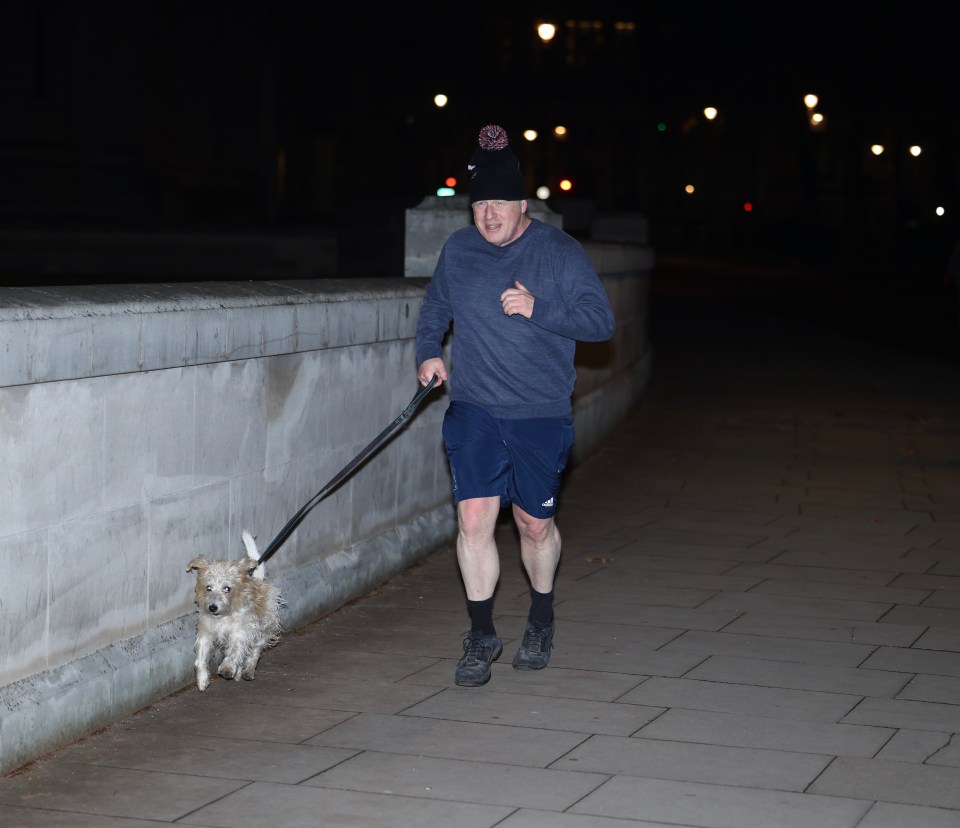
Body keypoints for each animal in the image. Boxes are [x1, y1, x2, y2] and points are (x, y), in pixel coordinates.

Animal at [187, 532, 284, 692]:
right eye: (208, 588)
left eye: (227, 588)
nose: (212, 608)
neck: (224, 616)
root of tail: (258, 579)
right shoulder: (206, 633)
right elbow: (201, 658)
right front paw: (202, 680)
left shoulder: (241, 633)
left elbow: (235, 652)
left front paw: (227, 668)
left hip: (264, 629)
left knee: (254, 651)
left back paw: (248, 671)